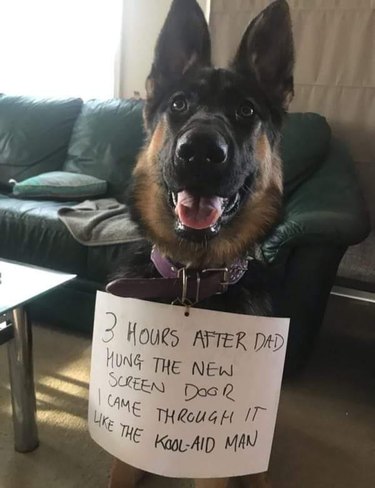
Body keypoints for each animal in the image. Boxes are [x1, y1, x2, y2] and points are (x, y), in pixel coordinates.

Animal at [107, 0, 296, 486]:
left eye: (246, 111)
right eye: (179, 104)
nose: (200, 151)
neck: (190, 278)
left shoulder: (211, 460)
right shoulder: (127, 438)